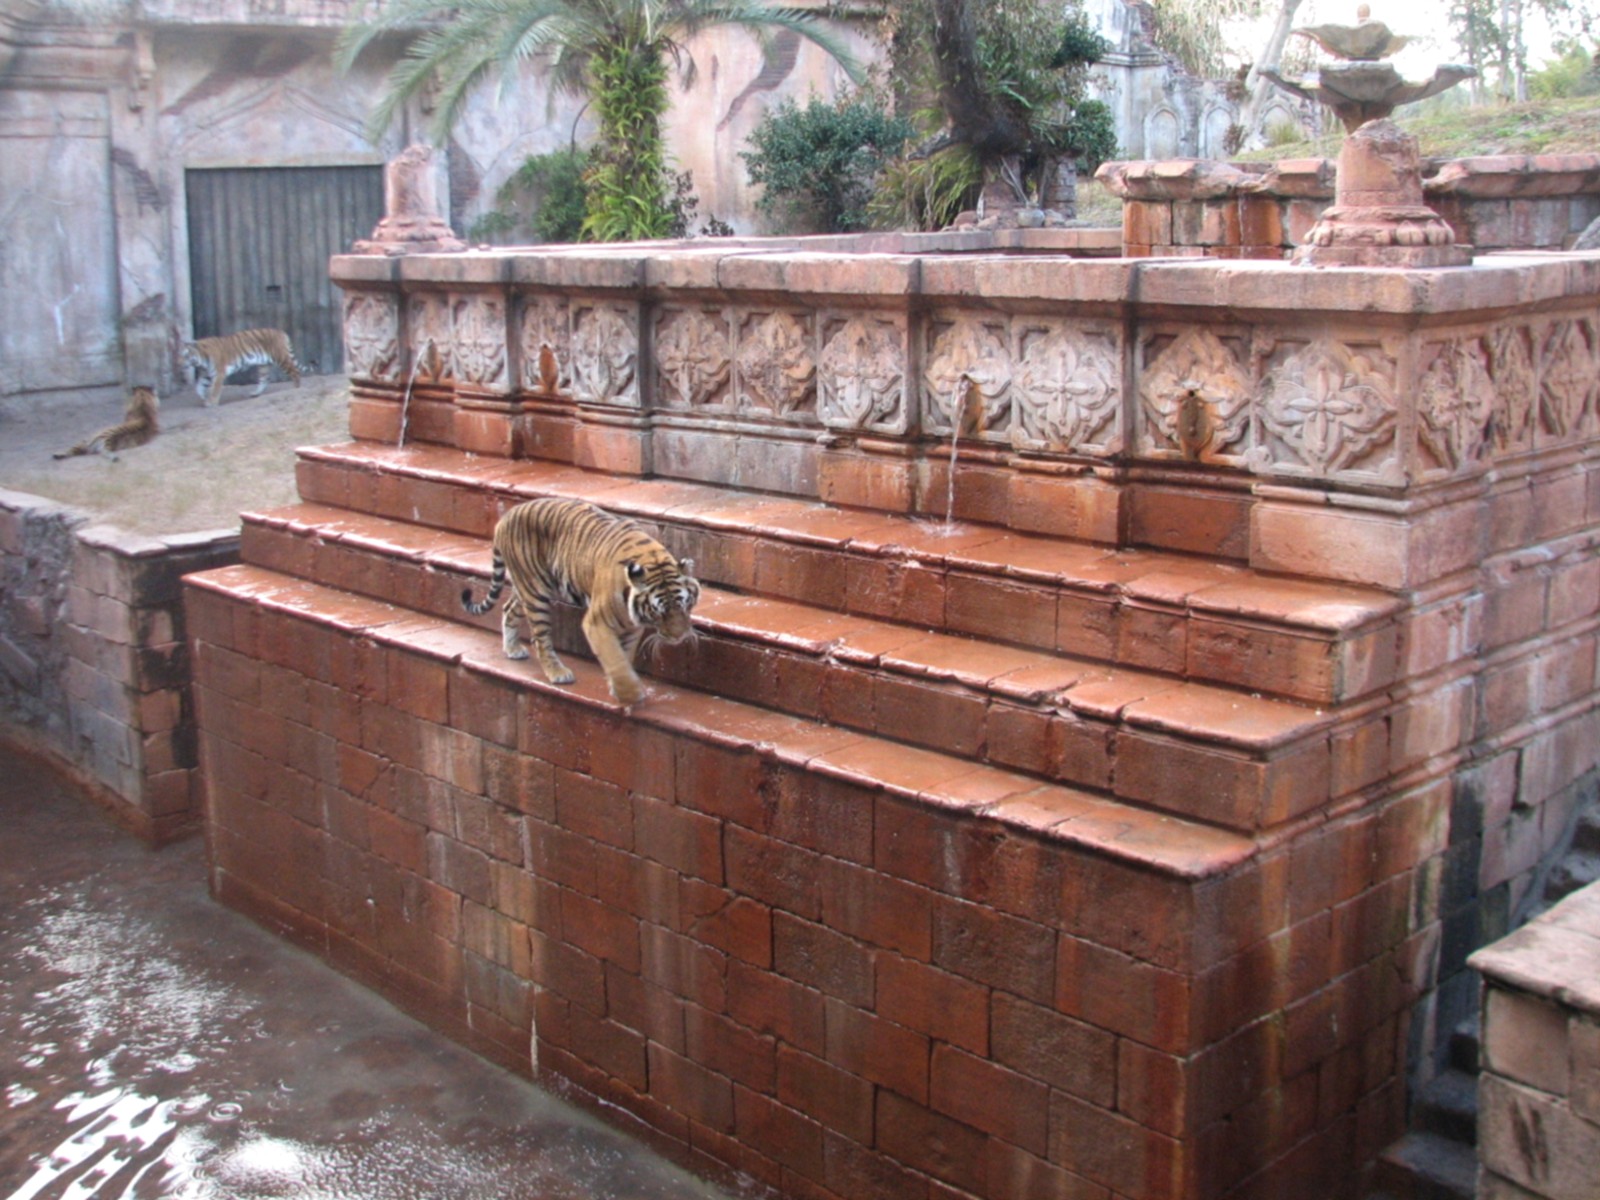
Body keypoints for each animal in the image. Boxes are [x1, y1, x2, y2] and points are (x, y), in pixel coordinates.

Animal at [460, 497, 700, 706]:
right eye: (659, 612)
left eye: (685, 606)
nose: (679, 637)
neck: (652, 559)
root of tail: (506, 517)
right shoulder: (597, 623)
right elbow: (614, 658)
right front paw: (630, 694)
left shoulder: (632, 627)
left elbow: (624, 655)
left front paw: (619, 687)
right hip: (536, 593)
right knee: (540, 638)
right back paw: (557, 672)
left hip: (526, 587)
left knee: (508, 608)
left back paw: (512, 649)